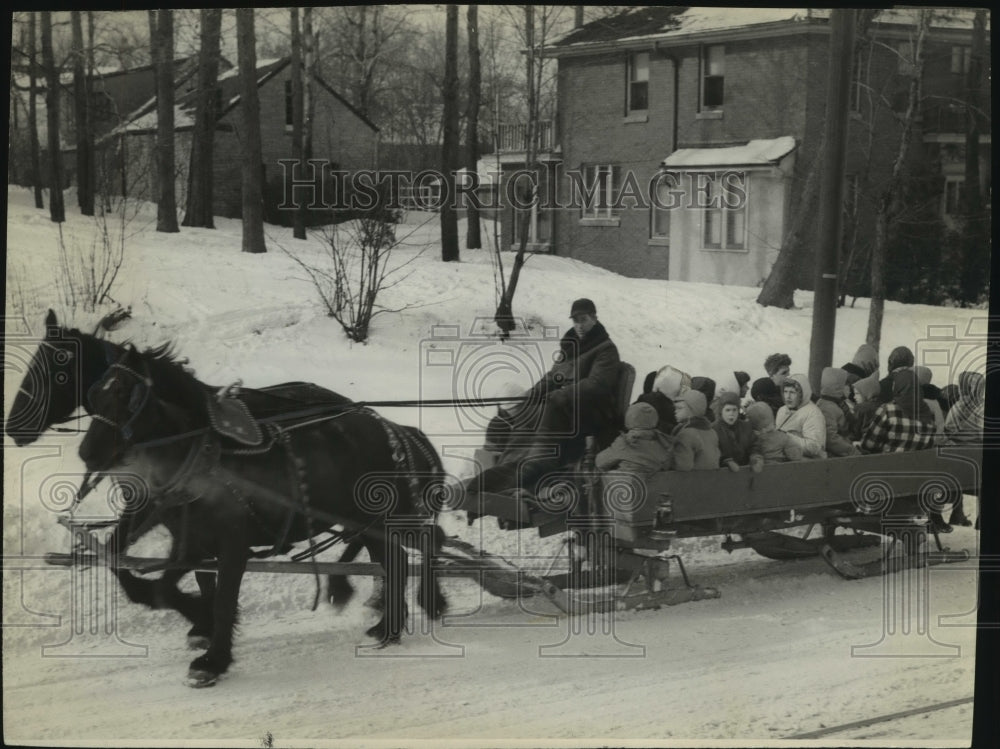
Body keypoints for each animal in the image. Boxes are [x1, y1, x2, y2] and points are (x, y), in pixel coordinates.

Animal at [3, 312, 410, 656]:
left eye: (55, 373)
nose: (14, 428)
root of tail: (358, 408)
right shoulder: (151, 508)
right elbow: (122, 558)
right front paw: (202, 621)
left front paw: (203, 620)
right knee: (375, 547)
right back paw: (380, 608)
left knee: (380, 547)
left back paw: (379, 609)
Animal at [80, 344, 448, 684]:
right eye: (94, 395)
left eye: (125, 394)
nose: (87, 453)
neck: (203, 455)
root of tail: (395, 428)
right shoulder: (185, 535)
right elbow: (142, 579)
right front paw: (200, 619)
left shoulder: (232, 542)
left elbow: (222, 598)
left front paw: (213, 660)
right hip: (367, 522)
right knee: (396, 559)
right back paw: (388, 626)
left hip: (388, 517)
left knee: (422, 545)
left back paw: (424, 605)